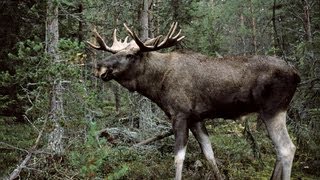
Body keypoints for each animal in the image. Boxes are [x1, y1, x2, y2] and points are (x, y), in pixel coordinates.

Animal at [87, 22, 300, 180]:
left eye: (130, 55)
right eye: (116, 52)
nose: (99, 67)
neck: (157, 85)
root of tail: (296, 75)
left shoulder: (180, 114)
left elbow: (178, 158)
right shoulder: (197, 118)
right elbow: (209, 154)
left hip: (273, 109)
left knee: (287, 148)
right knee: (279, 149)